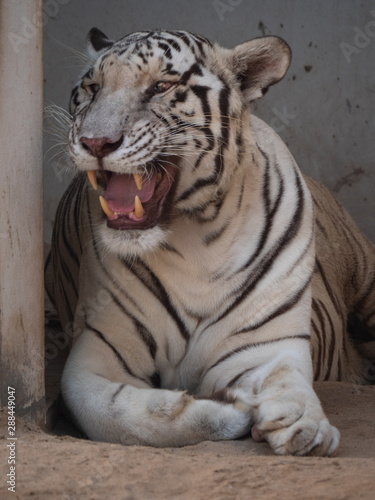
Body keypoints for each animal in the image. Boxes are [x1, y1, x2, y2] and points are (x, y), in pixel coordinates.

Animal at [46, 28, 375, 458]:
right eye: (93, 88)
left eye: (161, 87)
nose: (95, 142)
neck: (197, 237)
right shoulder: (97, 353)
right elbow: (116, 414)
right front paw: (229, 411)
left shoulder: (266, 345)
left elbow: (287, 380)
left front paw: (305, 425)